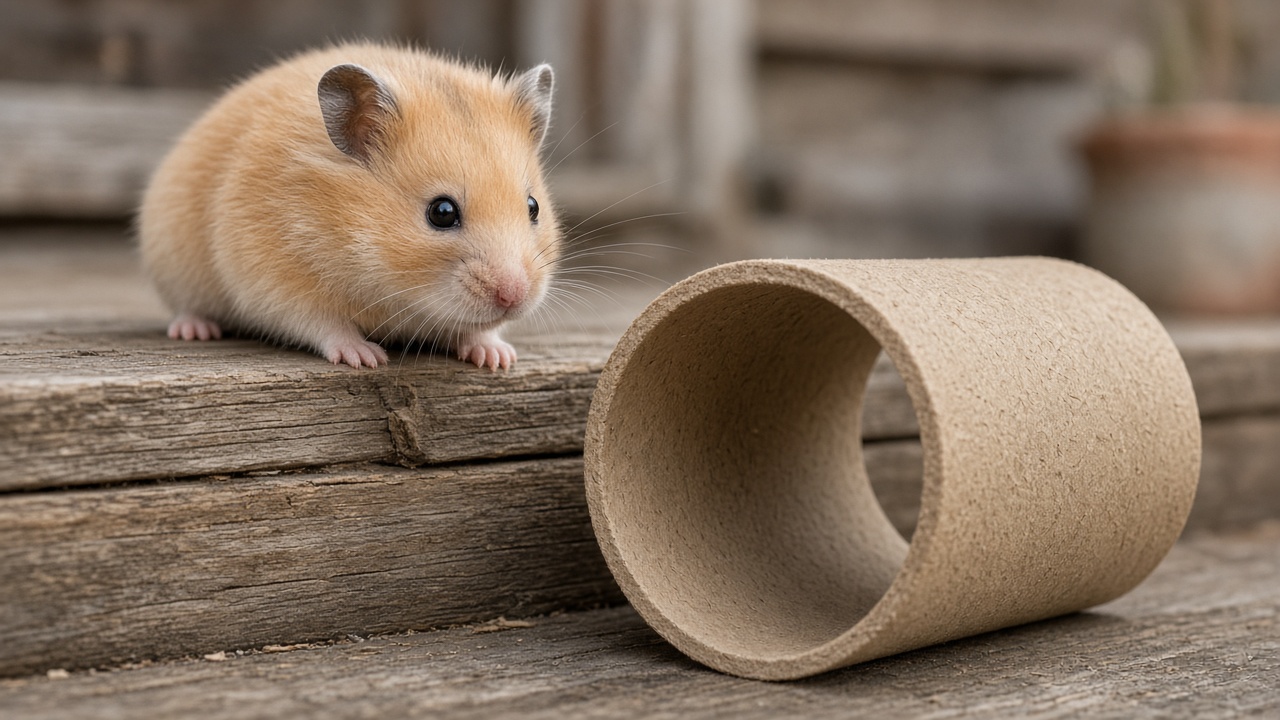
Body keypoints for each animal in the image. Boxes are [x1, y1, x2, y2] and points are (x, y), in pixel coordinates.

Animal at [139, 43, 560, 370]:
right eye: (442, 212)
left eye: (533, 206)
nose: (514, 297)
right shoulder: (274, 279)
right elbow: (324, 324)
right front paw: (367, 357)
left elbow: (477, 331)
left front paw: (499, 358)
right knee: (187, 307)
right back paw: (195, 330)